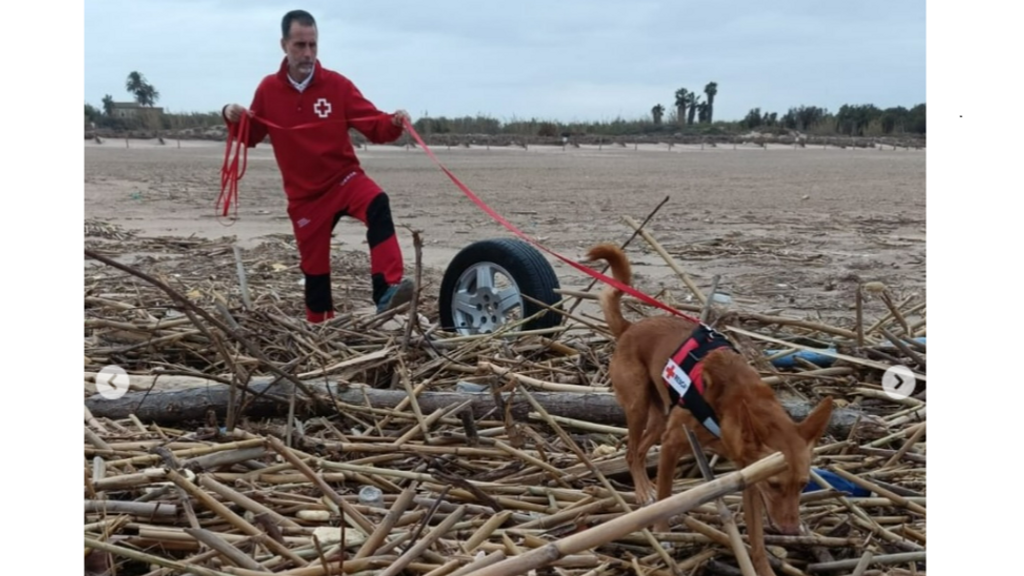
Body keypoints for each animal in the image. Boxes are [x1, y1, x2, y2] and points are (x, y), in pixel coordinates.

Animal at [585, 239, 831, 569]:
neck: (731, 404)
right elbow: (666, 495)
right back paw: (643, 493)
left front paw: (763, 566)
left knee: (640, 450)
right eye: (776, 485)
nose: (792, 531)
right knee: (631, 452)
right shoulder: (673, 445)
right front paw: (662, 532)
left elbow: (756, 537)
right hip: (638, 407)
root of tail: (629, 328)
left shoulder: (747, 475)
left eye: (803, 485)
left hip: (660, 417)